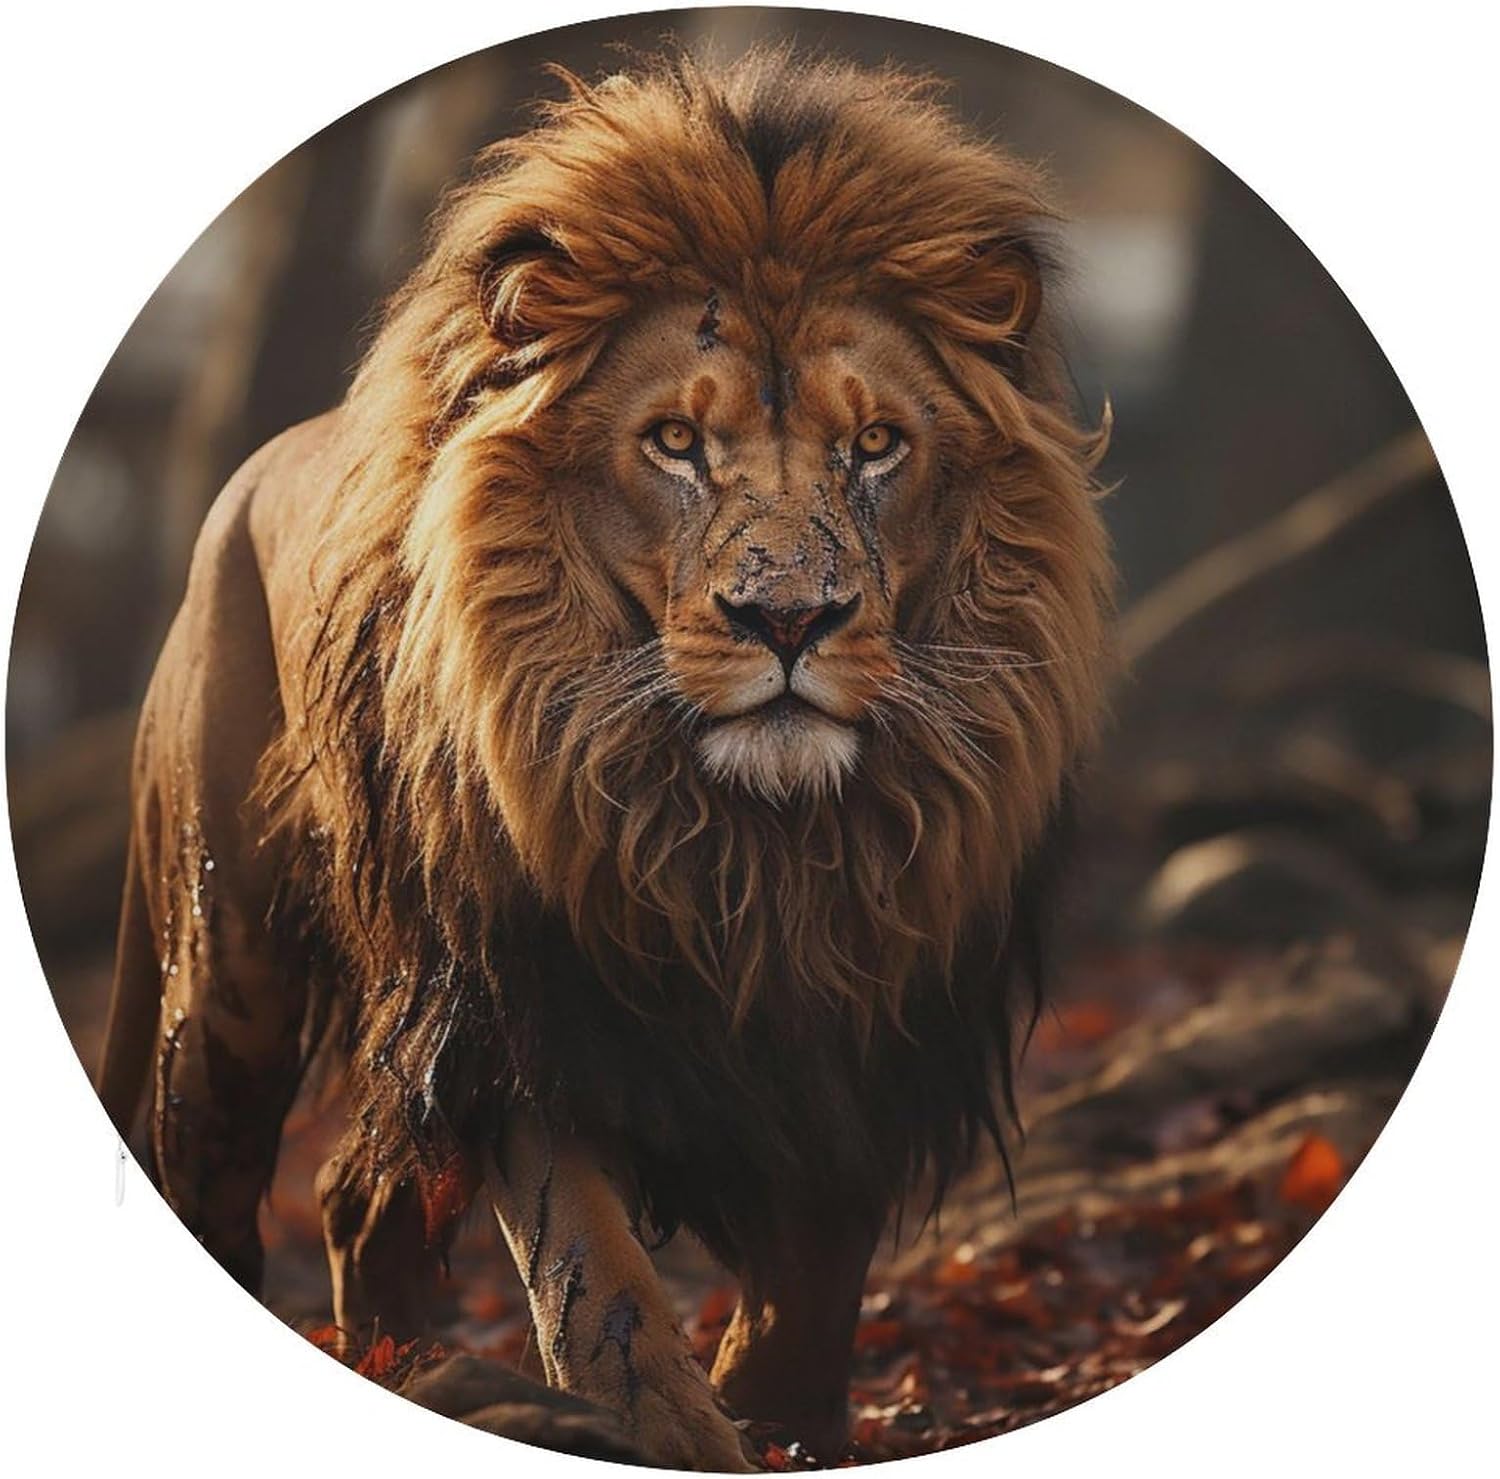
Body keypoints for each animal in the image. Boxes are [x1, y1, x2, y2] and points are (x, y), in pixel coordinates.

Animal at [96, 51, 1112, 1470]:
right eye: (676, 444)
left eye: (876, 447)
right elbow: (596, 1278)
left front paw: (785, 1418)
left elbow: (821, 1256)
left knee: (354, 1199)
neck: (753, 846)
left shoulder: (873, 993)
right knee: (216, 1168)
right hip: (226, 968)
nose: (788, 620)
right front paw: (669, 1429)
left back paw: (403, 1367)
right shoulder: (520, 987)